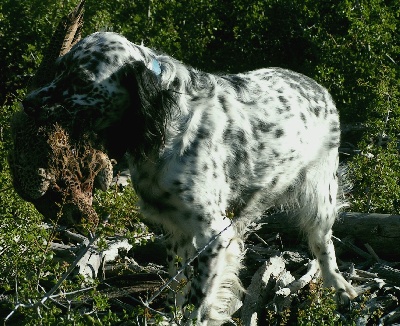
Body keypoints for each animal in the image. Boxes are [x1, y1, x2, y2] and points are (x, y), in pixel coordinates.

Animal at [22, 31, 356, 324]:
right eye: (59, 70)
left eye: (81, 81)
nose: (27, 103)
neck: (163, 125)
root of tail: (318, 86)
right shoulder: (176, 229)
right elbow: (178, 285)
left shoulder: (214, 234)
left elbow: (199, 298)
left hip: (320, 200)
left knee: (325, 249)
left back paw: (341, 290)